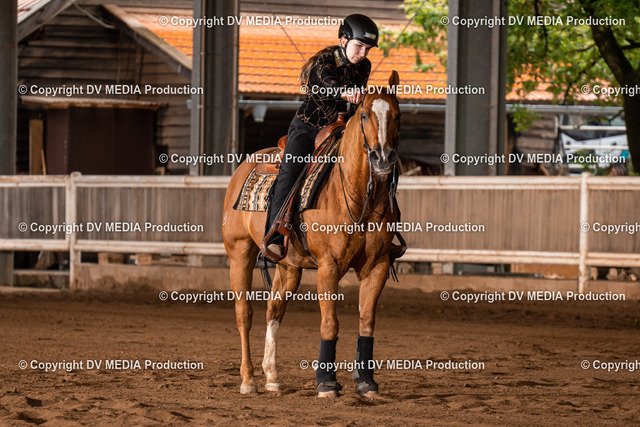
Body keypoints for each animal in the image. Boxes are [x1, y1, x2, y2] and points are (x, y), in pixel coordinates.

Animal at [222, 70, 401, 398]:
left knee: (274, 310)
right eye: (365, 115)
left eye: (397, 115)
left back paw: (272, 377)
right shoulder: (329, 266)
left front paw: (367, 382)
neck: (356, 196)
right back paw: (248, 380)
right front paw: (326, 383)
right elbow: (330, 323)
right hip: (239, 252)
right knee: (244, 314)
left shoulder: (378, 264)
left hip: (288, 266)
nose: (383, 159)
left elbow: (366, 322)